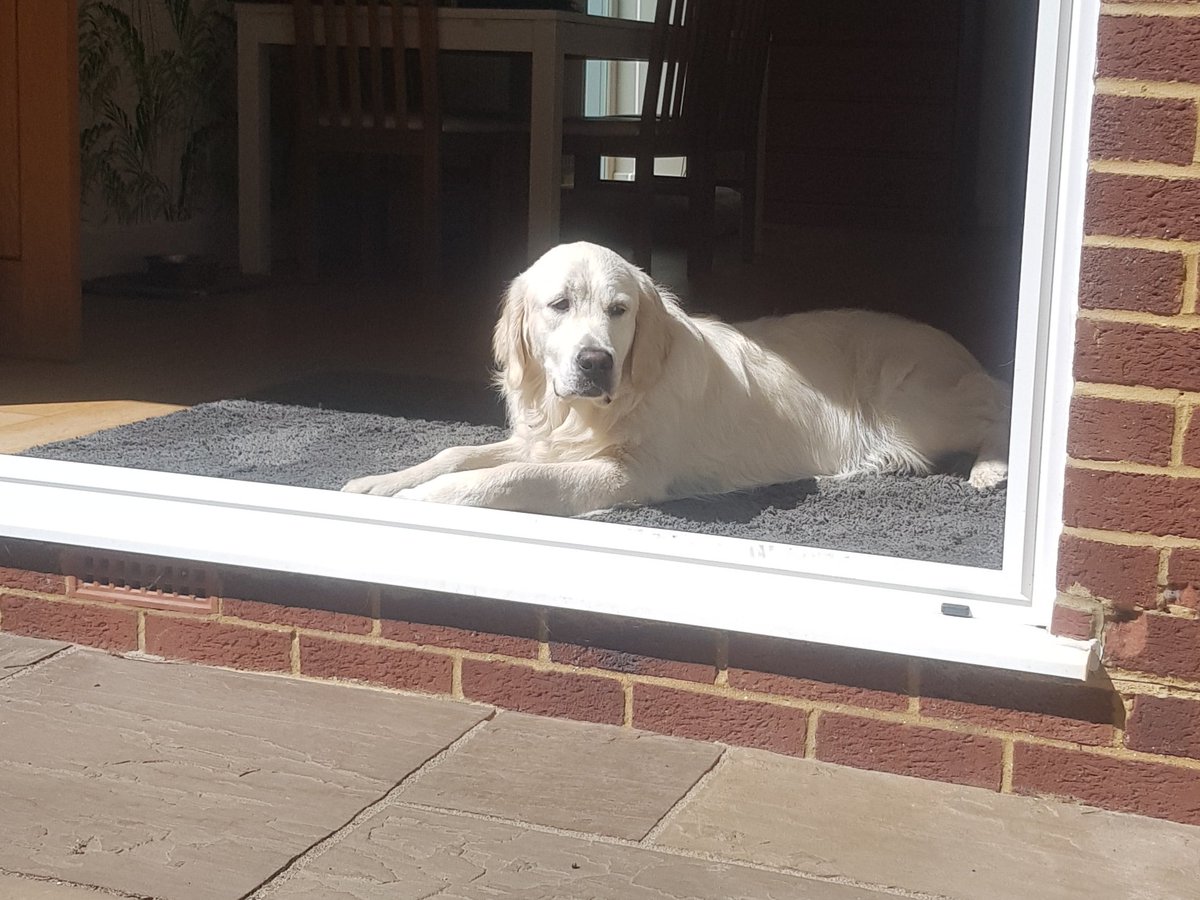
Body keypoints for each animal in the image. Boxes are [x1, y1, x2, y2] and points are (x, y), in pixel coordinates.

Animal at [343, 241, 1008, 513]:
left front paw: (424, 498)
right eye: (559, 304)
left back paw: (991, 468)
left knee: (1001, 408)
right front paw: (380, 482)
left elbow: (510, 478)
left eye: (619, 309)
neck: (588, 413)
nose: (596, 362)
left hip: (911, 403)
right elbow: (457, 453)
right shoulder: (542, 438)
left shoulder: (627, 473)